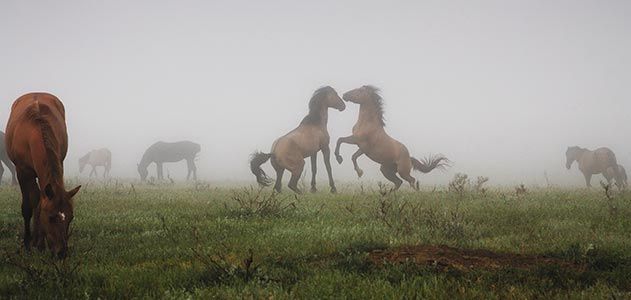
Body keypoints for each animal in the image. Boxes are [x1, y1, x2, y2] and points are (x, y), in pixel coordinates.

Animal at [4, 92, 81, 258]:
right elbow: (29, 206)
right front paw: (29, 243)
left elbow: (39, 202)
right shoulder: (22, 172)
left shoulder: (58, 164)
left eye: (71, 217)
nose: (61, 253)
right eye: (51, 217)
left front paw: (39, 243)